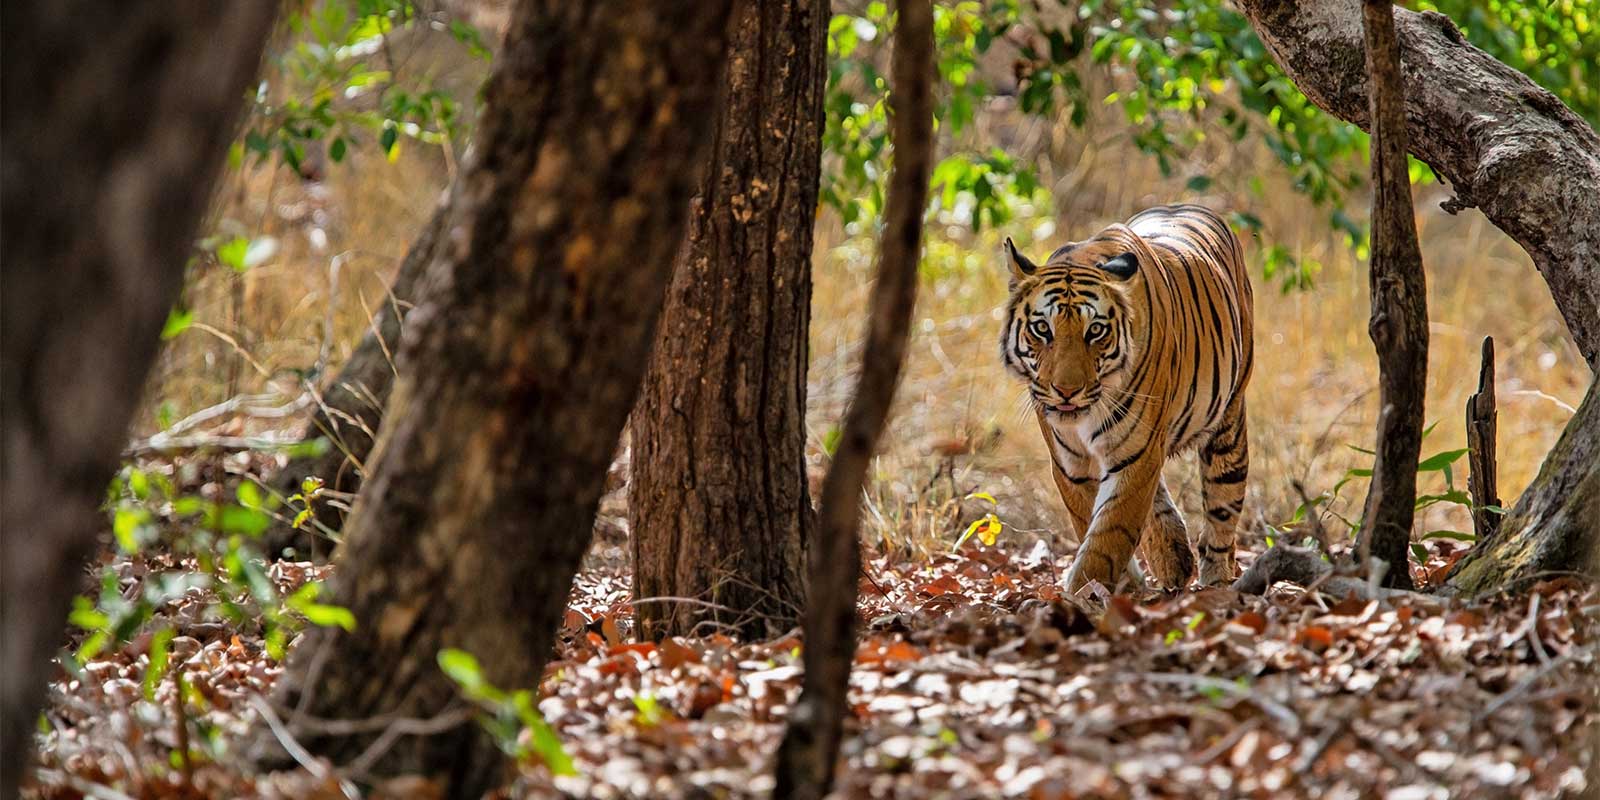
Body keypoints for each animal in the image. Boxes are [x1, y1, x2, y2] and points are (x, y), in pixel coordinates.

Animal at [999, 203, 1254, 593]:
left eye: (1095, 331)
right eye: (1042, 328)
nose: (1067, 391)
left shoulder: (1137, 453)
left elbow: (1109, 534)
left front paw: (1084, 590)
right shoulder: (1072, 465)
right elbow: (1094, 522)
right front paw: (1118, 585)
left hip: (1228, 424)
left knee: (1223, 507)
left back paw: (1215, 580)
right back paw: (1173, 558)